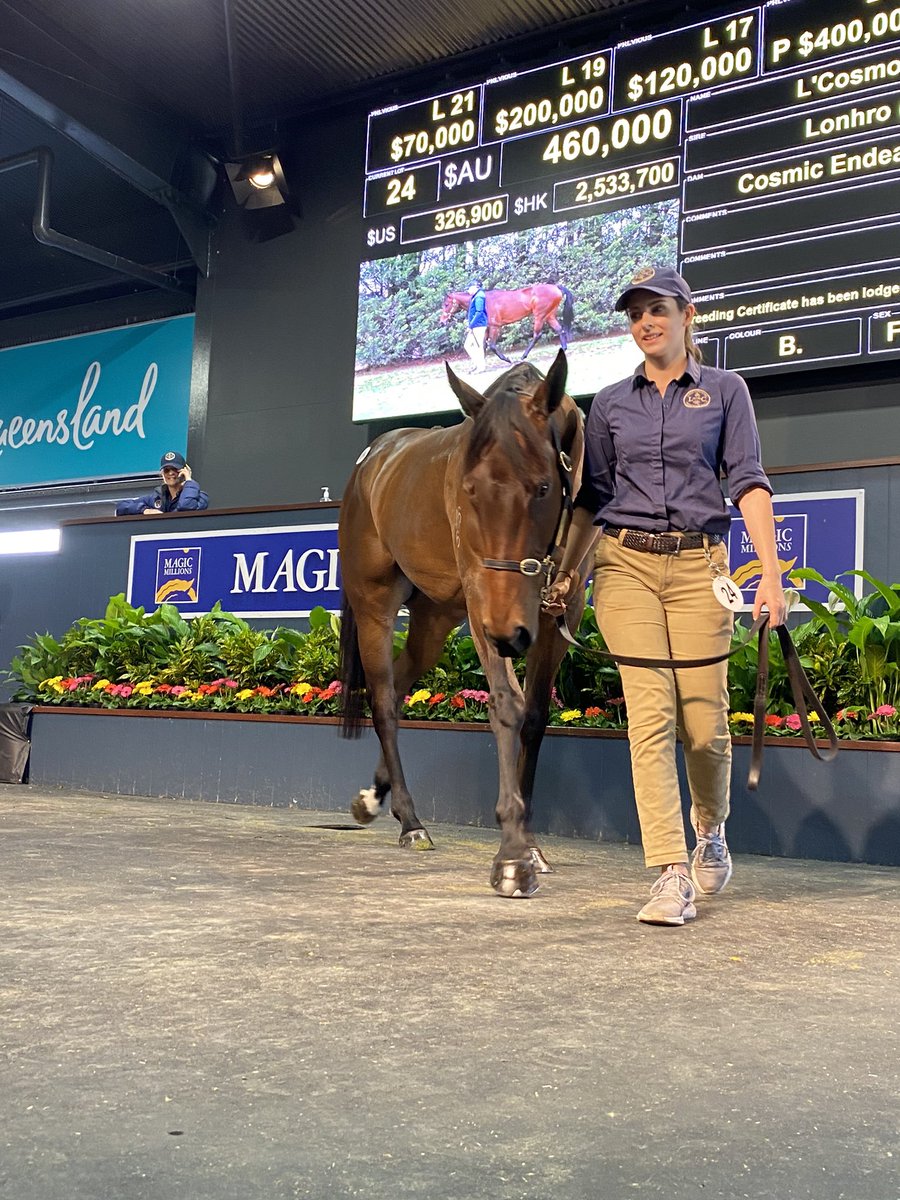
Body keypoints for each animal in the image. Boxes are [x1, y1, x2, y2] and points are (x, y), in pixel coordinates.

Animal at [338, 350, 590, 899]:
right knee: (384, 700)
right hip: (376, 604)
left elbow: (535, 717)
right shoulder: (483, 602)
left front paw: (530, 845)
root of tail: (372, 459)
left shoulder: (558, 611)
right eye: (469, 490)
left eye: (543, 487)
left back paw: (374, 797)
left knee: (401, 682)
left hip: (437, 617)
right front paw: (512, 856)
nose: (509, 634)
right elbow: (507, 707)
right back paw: (410, 822)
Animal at [439, 284, 575, 364]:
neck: (484, 301)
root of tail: (555, 287)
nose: (442, 321)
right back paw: (563, 349)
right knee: (559, 329)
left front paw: (507, 359)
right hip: (549, 315)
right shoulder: (487, 328)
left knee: (537, 335)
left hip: (540, 316)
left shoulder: (495, 327)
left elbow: (492, 346)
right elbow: (483, 345)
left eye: (446, 304)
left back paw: (523, 356)